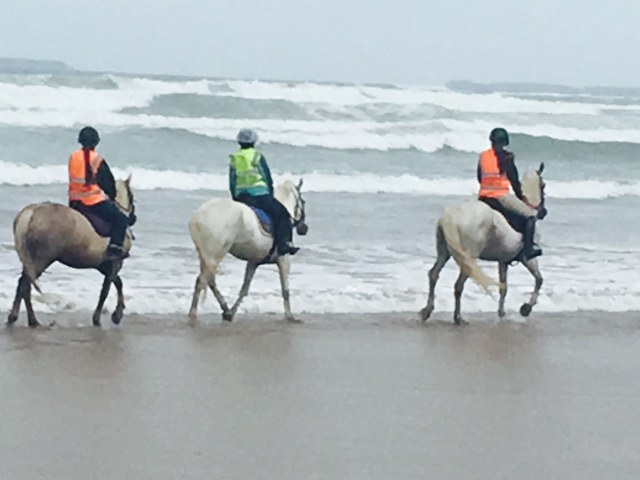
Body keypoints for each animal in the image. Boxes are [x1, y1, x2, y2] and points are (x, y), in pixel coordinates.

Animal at [7, 178, 135, 328]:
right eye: (132, 196)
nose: (133, 217)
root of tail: (31, 212)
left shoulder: (103, 265)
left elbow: (117, 283)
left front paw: (115, 314)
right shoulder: (115, 263)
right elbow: (107, 289)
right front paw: (108, 316)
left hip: (29, 261)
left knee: (22, 284)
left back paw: (16, 317)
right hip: (40, 261)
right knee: (25, 285)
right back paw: (32, 320)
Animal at [188, 180, 308, 322]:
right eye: (303, 201)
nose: (304, 228)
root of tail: (198, 217)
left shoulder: (253, 262)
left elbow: (244, 289)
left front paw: (232, 312)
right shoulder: (284, 260)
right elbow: (285, 290)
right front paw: (289, 316)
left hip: (206, 256)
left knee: (209, 280)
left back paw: (225, 309)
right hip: (215, 254)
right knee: (202, 281)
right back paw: (193, 313)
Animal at [422, 163, 548, 324]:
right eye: (543, 185)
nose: (543, 212)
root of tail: (449, 217)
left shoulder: (503, 260)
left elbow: (504, 287)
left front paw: (501, 313)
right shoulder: (528, 259)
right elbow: (539, 280)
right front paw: (526, 308)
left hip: (444, 253)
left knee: (434, 275)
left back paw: (427, 311)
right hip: (468, 258)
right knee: (458, 285)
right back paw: (458, 318)